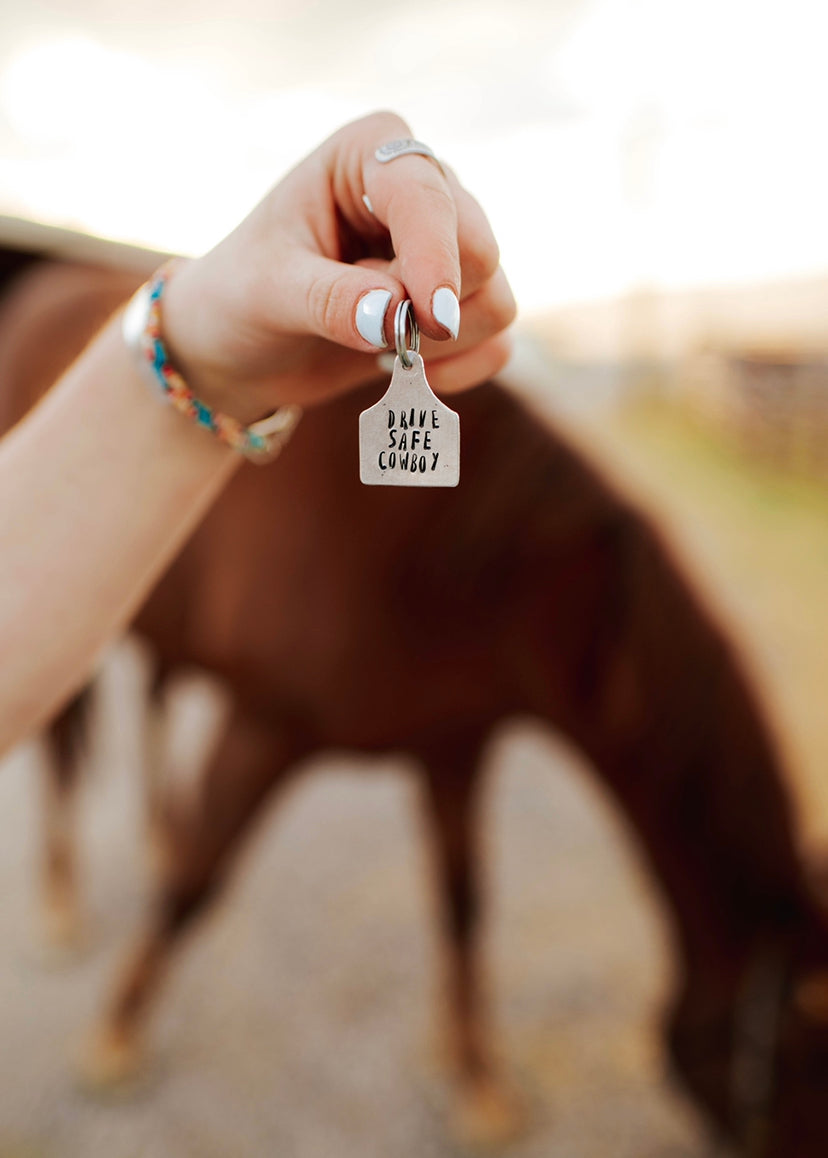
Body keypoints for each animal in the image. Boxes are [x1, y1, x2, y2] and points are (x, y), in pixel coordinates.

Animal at [1, 246, 828, 1158]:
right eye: (806, 1057)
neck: (469, 571)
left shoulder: (455, 751)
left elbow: (463, 906)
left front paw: (477, 1081)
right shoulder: (266, 726)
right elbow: (197, 882)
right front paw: (115, 1038)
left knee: (151, 703)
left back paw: (146, 834)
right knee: (65, 746)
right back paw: (60, 903)